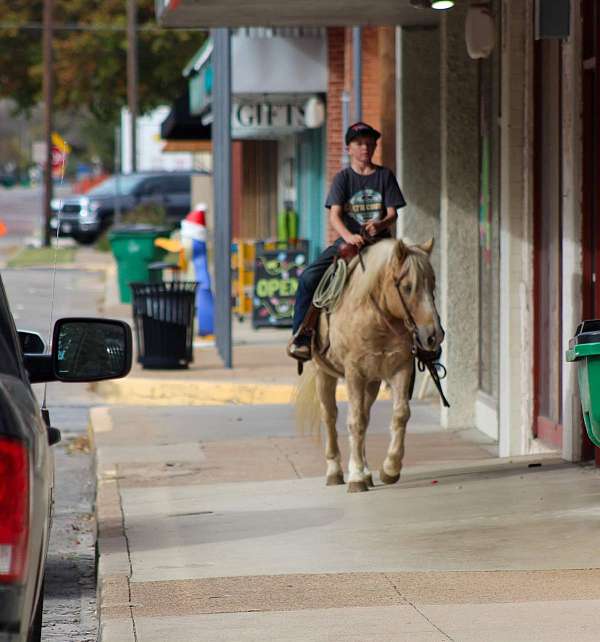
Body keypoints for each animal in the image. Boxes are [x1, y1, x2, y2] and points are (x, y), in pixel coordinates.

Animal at [298, 238, 442, 492]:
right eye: (407, 287)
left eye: (433, 285)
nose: (434, 336)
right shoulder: (354, 372)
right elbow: (354, 422)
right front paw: (355, 477)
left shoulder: (400, 369)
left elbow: (399, 414)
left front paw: (389, 469)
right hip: (325, 374)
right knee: (330, 416)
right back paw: (335, 472)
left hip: (372, 382)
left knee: (365, 415)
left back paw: (366, 472)